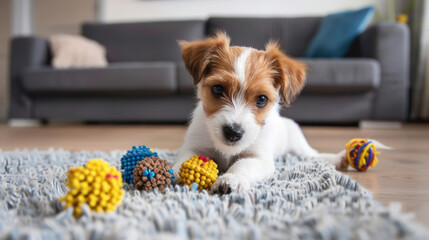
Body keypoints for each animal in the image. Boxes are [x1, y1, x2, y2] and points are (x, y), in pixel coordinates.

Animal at [171, 32, 348, 194]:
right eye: (218, 89)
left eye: (262, 99)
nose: (233, 132)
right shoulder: (193, 147)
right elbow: (184, 159)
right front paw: (175, 174)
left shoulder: (259, 158)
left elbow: (243, 164)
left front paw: (231, 178)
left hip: (297, 144)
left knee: (312, 155)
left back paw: (337, 159)